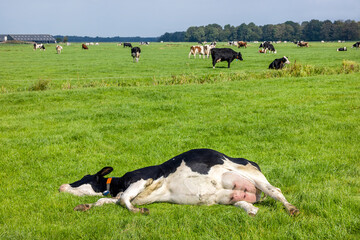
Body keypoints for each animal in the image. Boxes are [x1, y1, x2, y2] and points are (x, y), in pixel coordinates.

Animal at [59, 148, 300, 216]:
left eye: (82, 178)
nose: (61, 186)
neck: (118, 185)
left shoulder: (144, 178)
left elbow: (124, 199)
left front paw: (138, 211)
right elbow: (107, 201)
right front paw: (85, 206)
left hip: (252, 174)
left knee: (276, 190)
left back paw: (292, 209)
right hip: (230, 195)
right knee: (244, 202)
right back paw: (250, 210)